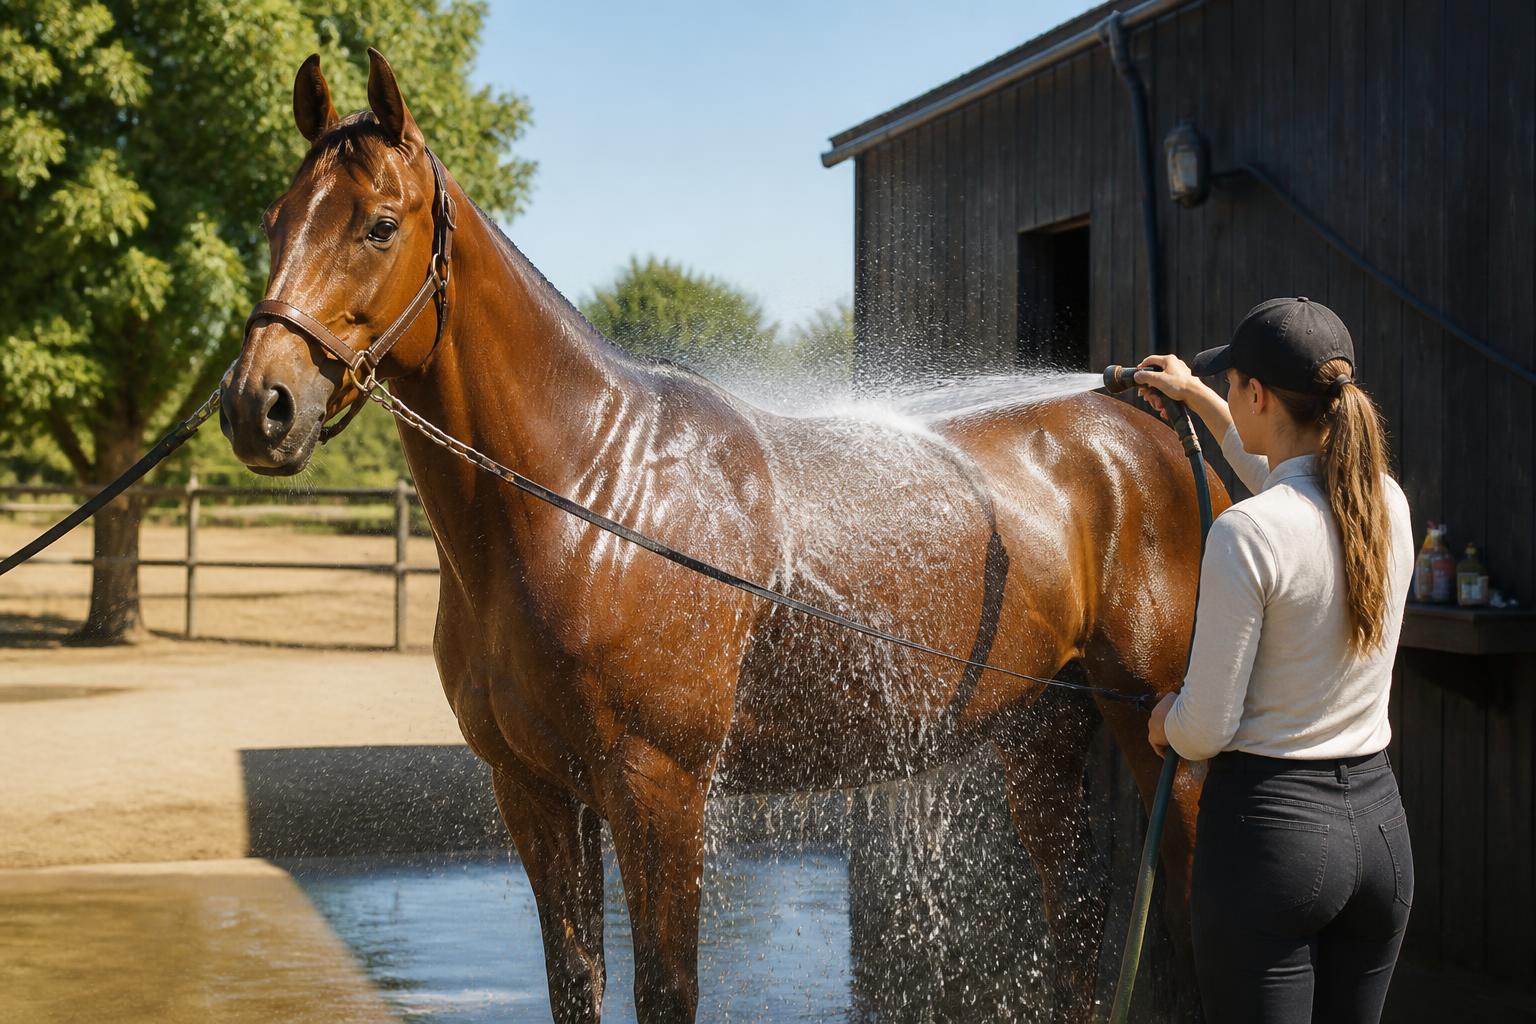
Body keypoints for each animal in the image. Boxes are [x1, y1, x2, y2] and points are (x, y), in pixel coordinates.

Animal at [221, 49, 1226, 1024]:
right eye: (275, 223)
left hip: (1163, 745)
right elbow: (574, 982)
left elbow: (668, 989)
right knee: (1076, 920)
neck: (594, 495)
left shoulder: (658, 789)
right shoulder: (535, 791)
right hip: (1042, 736)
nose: (257, 405)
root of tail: (1145, 417)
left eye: (379, 226)